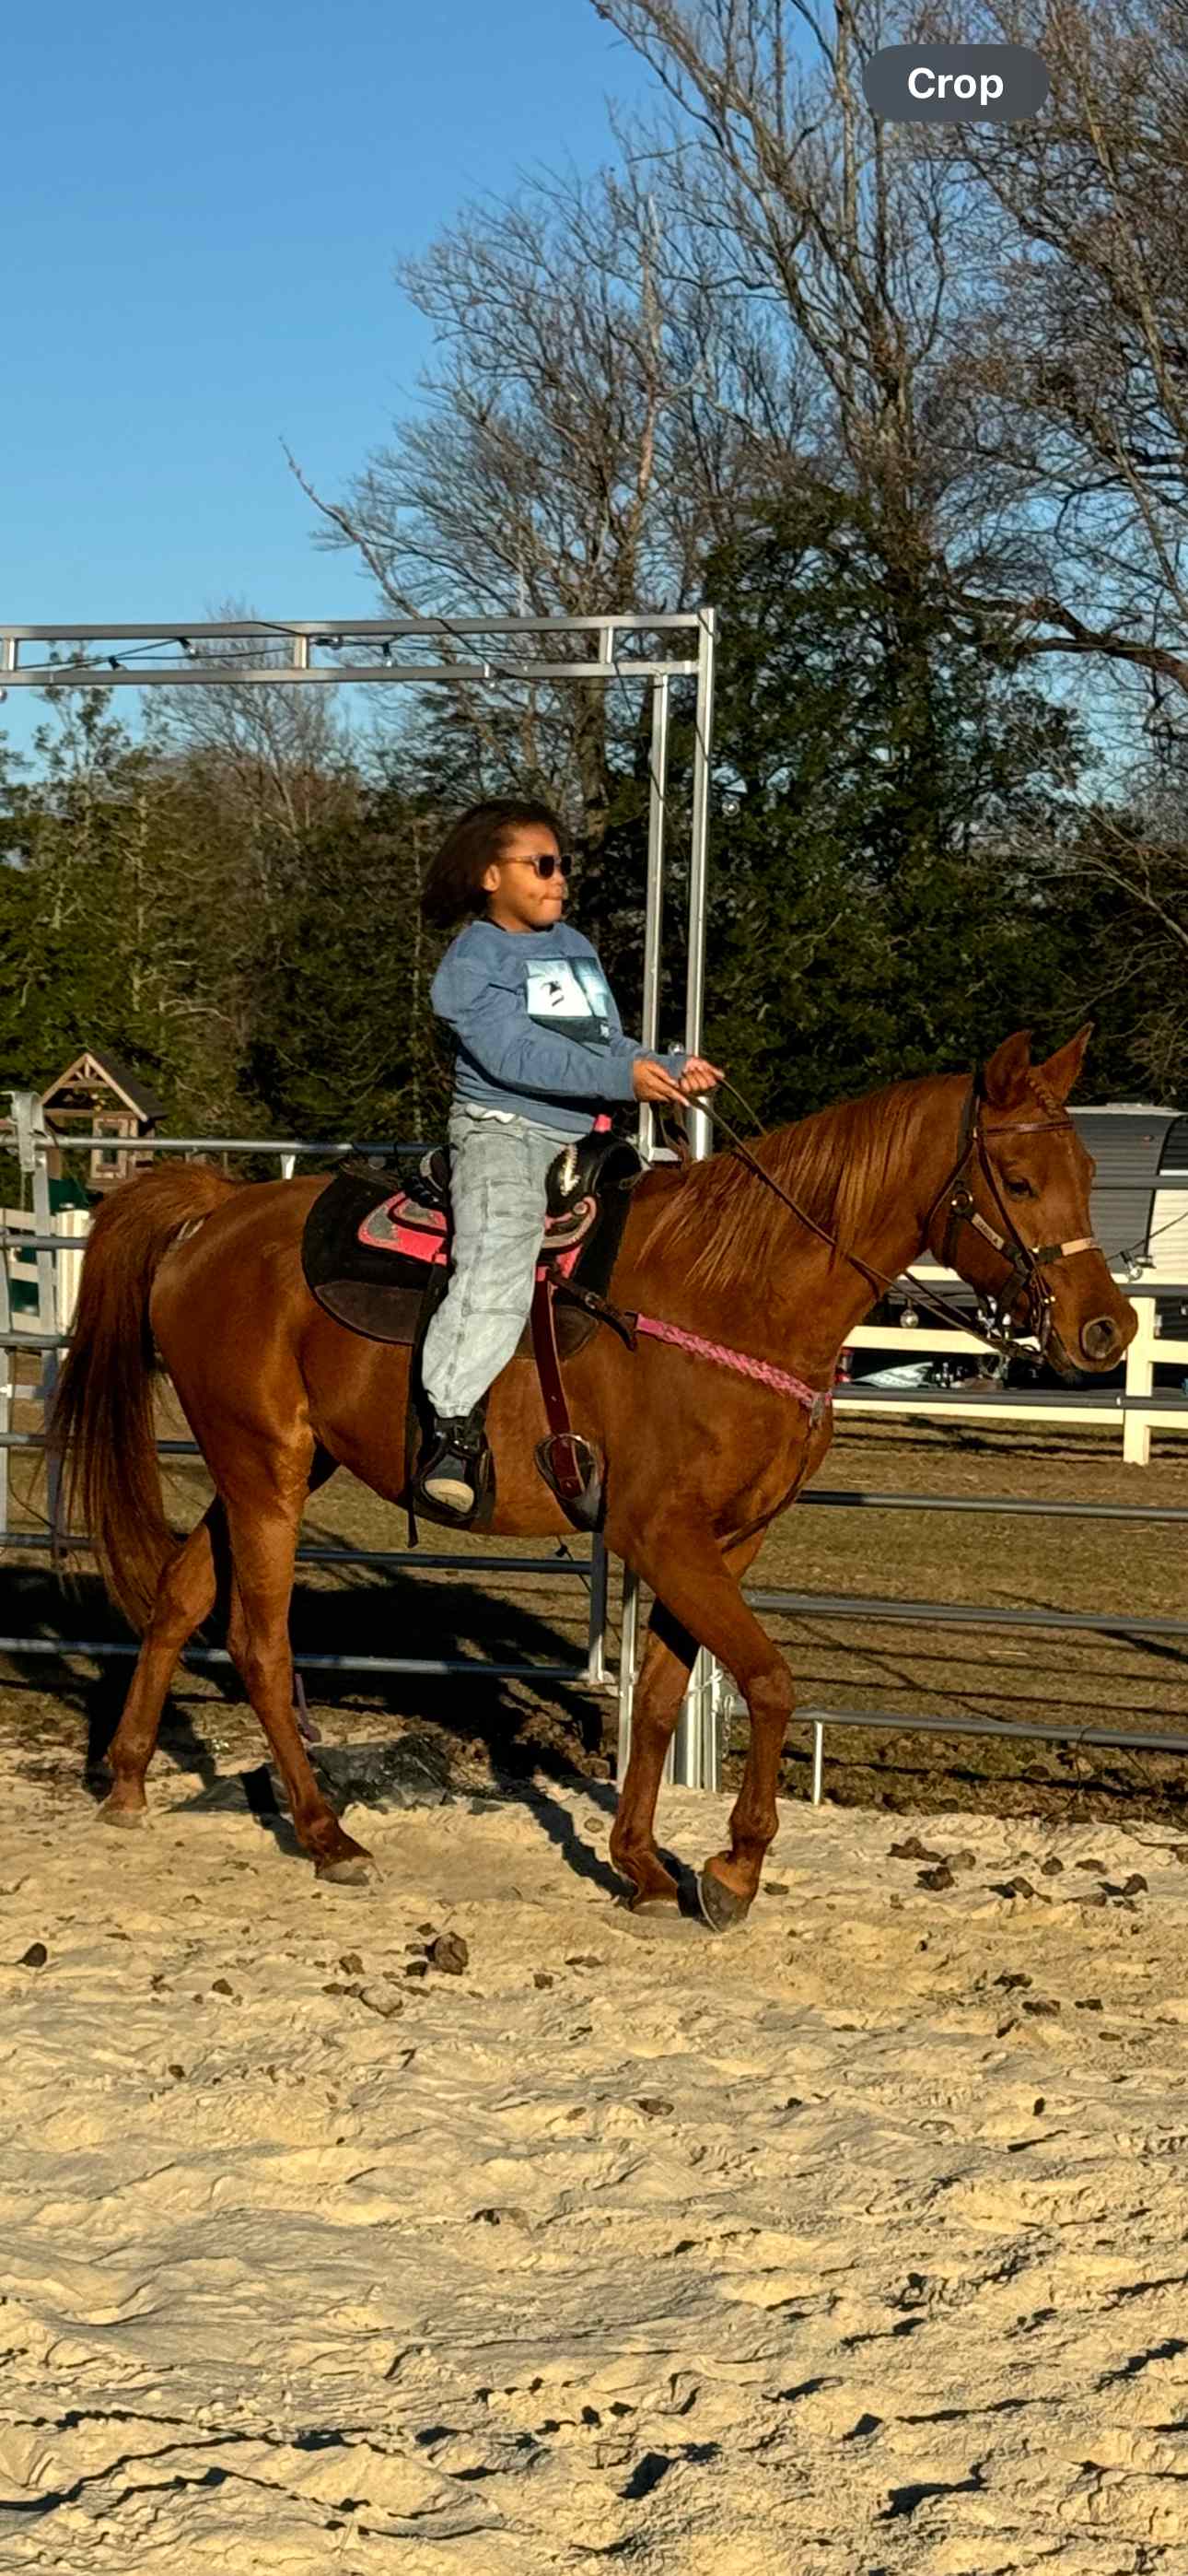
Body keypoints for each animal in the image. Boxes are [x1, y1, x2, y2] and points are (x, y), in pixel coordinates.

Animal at [50, 1025, 1135, 1931]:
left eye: (1087, 1169)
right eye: (1019, 1180)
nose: (1106, 1330)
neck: (735, 1292)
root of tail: (213, 1217)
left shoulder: (725, 1541)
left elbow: (658, 1697)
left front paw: (645, 1865)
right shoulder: (666, 1535)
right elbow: (771, 1680)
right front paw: (733, 1870)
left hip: (274, 1467)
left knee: (181, 1594)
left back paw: (129, 1782)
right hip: (264, 1469)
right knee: (261, 1643)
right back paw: (327, 1836)